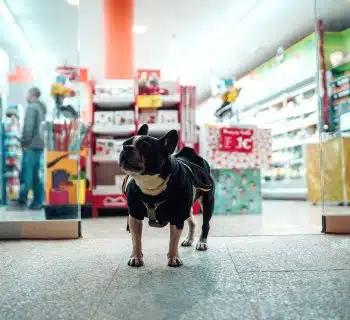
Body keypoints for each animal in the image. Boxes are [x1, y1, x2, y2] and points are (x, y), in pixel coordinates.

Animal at [119, 125, 213, 268]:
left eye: (144, 146)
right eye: (125, 143)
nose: (126, 148)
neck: (149, 182)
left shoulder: (177, 216)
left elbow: (173, 240)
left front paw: (174, 258)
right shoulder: (135, 215)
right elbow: (136, 239)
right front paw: (136, 257)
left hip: (207, 202)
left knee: (205, 224)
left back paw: (202, 242)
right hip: (187, 208)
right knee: (192, 221)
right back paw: (189, 239)